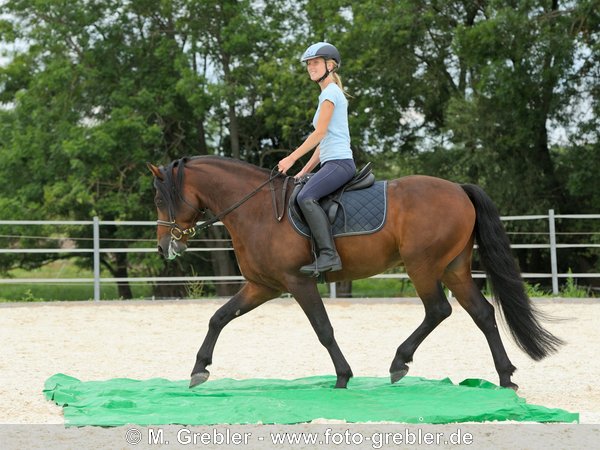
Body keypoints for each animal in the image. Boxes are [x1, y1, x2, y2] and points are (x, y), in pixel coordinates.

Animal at [149, 155, 564, 390]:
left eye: (159, 198)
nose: (164, 248)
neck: (258, 211)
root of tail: (459, 190)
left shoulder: (299, 282)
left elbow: (323, 329)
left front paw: (343, 376)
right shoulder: (262, 286)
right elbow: (218, 318)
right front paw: (198, 370)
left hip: (423, 266)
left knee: (438, 310)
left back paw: (399, 363)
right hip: (454, 269)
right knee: (482, 314)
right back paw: (505, 376)